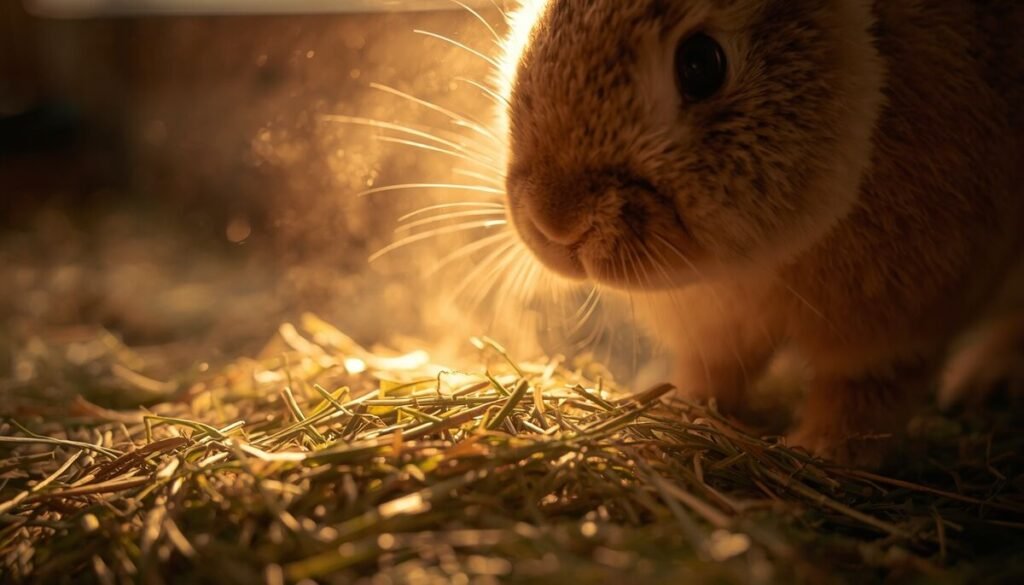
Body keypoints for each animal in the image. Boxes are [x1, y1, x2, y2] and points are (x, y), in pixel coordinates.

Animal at [495, 0, 1024, 466]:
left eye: (701, 64)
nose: (555, 221)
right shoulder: (716, 325)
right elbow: (713, 372)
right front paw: (679, 410)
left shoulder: (898, 318)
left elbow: (863, 392)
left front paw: (821, 452)